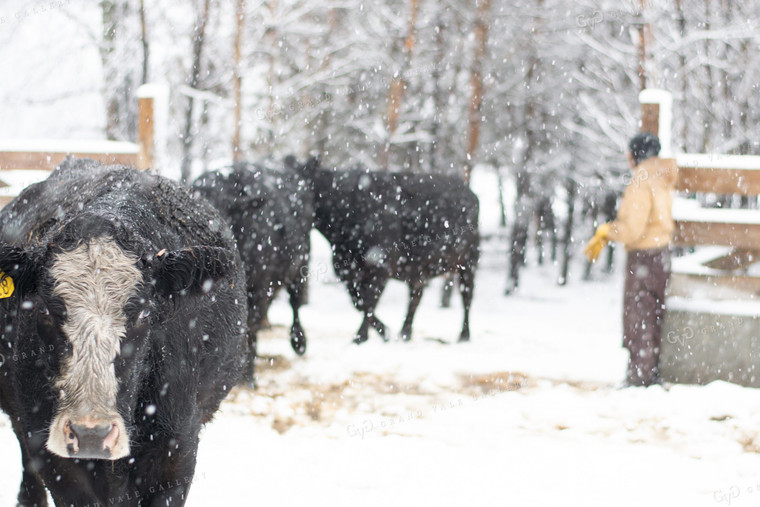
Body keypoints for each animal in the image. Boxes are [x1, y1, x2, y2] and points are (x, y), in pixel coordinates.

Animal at [308, 164, 476, 346]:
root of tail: (469, 192)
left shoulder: (380, 268)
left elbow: (369, 302)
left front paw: (362, 337)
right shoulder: (347, 272)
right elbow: (359, 303)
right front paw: (381, 332)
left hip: (469, 261)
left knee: (467, 296)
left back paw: (464, 335)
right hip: (418, 270)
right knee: (415, 298)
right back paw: (405, 333)